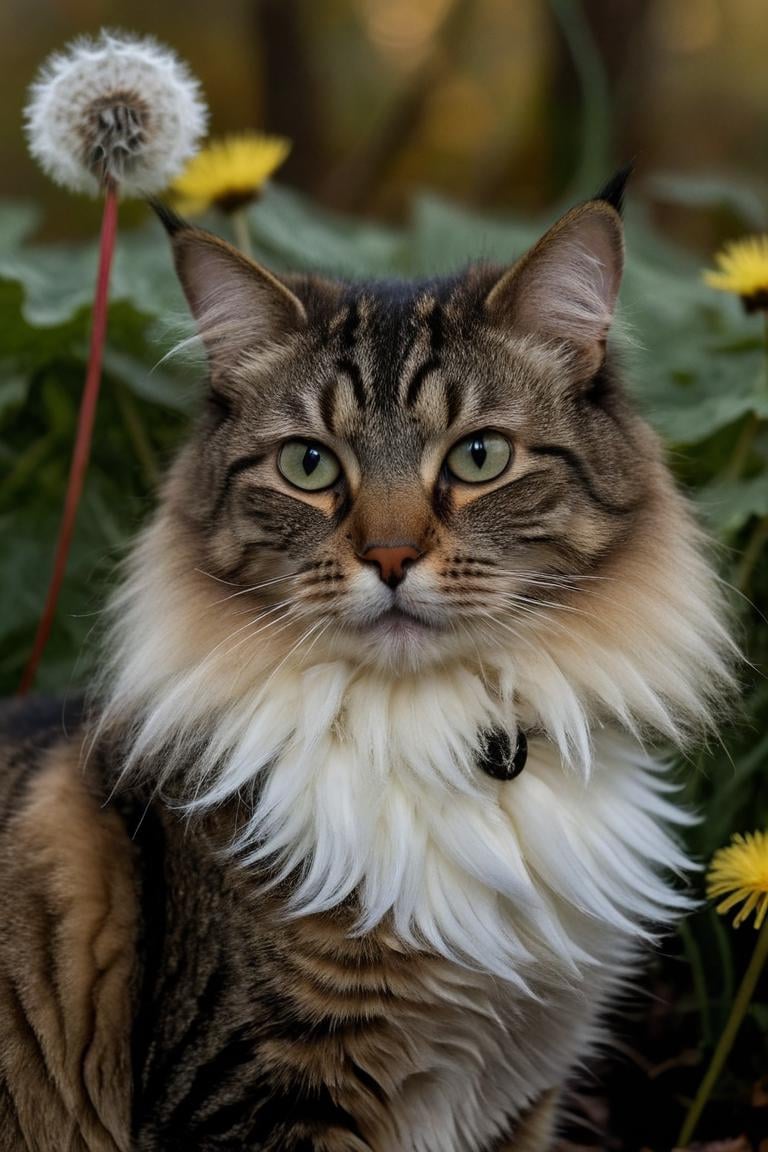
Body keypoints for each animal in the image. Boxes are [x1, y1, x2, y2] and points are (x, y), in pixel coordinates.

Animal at [0, 170, 732, 1152]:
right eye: (310, 466)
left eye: (479, 457)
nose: (389, 558)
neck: (434, 733)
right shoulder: (260, 1090)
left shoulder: (520, 1092)